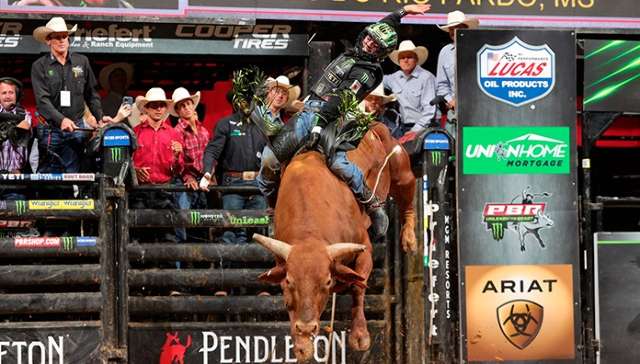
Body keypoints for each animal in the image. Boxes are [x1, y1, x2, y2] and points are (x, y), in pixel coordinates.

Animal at [252, 122, 418, 362]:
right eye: (289, 281)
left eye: (327, 281)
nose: (306, 328)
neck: (309, 233)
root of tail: (374, 125)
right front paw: (302, 344)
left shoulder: (364, 249)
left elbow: (358, 286)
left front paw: (359, 335)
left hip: (400, 168)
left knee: (407, 199)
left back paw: (409, 238)